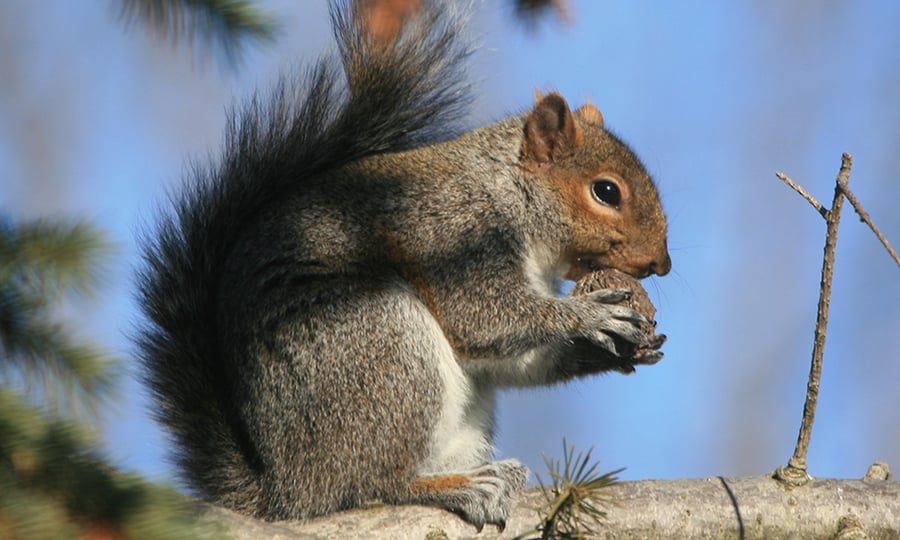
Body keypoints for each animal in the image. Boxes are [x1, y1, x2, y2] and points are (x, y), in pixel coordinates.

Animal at [136, 0, 671, 531]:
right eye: (606, 191)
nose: (662, 264)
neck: (506, 189)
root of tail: (283, 491)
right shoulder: (455, 234)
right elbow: (484, 318)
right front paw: (589, 315)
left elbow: (506, 357)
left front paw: (608, 351)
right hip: (377, 347)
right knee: (368, 485)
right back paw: (457, 487)